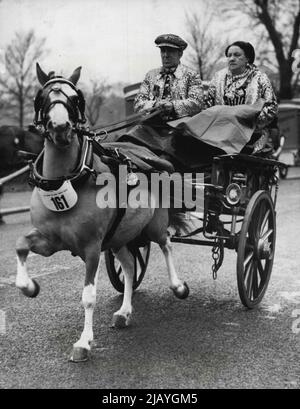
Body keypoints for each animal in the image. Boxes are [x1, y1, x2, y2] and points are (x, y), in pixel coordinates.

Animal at [14, 62, 190, 362]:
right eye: (42, 97)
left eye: (76, 98)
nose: (60, 127)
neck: (70, 178)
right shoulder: (50, 241)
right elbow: (20, 244)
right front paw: (28, 286)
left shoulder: (92, 247)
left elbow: (88, 296)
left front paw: (84, 342)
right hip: (120, 237)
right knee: (130, 266)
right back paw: (124, 312)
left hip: (153, 224)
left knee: (166, 244)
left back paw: (177, 286)